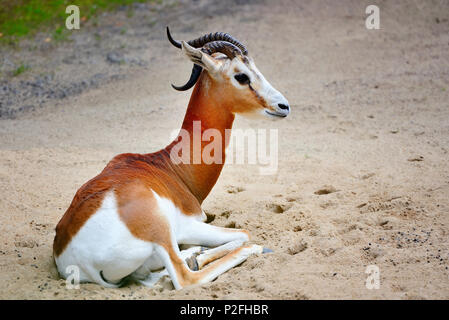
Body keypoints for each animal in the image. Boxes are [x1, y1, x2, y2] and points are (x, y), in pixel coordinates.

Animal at [53, 27, 290, 288]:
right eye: (241, 76)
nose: (283, 105)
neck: (170, 167)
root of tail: (75, 258)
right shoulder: (191, 225)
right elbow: (244, 233)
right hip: (163, 234)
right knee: (186, 277)